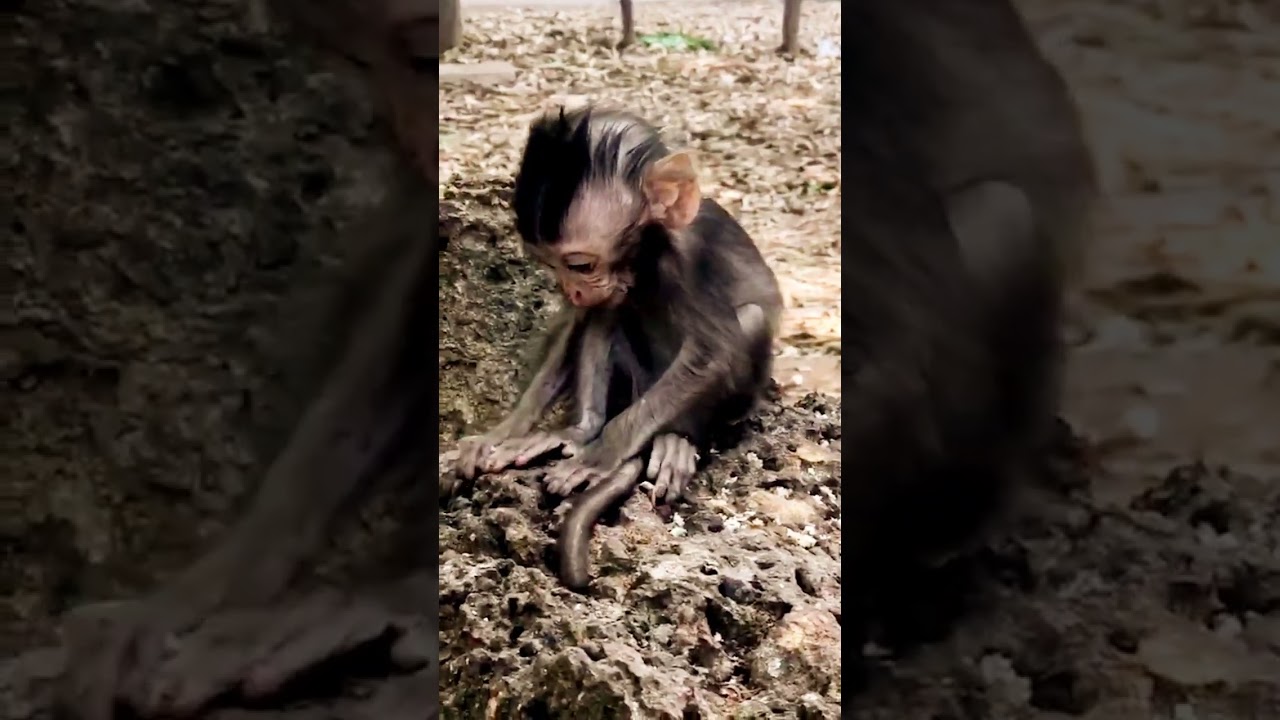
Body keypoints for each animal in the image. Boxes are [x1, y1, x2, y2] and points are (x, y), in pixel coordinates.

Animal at [447, 106, 784, 589]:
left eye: (580, 265)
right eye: (551, 265)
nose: (573, 290)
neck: (645, 259)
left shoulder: (689, 261)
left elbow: (712, 351)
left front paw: (603, 453)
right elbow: (582, 323)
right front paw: (505, 435)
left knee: (747, 323)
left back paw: (676, 439)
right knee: (610, 313)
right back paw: (579, 430)